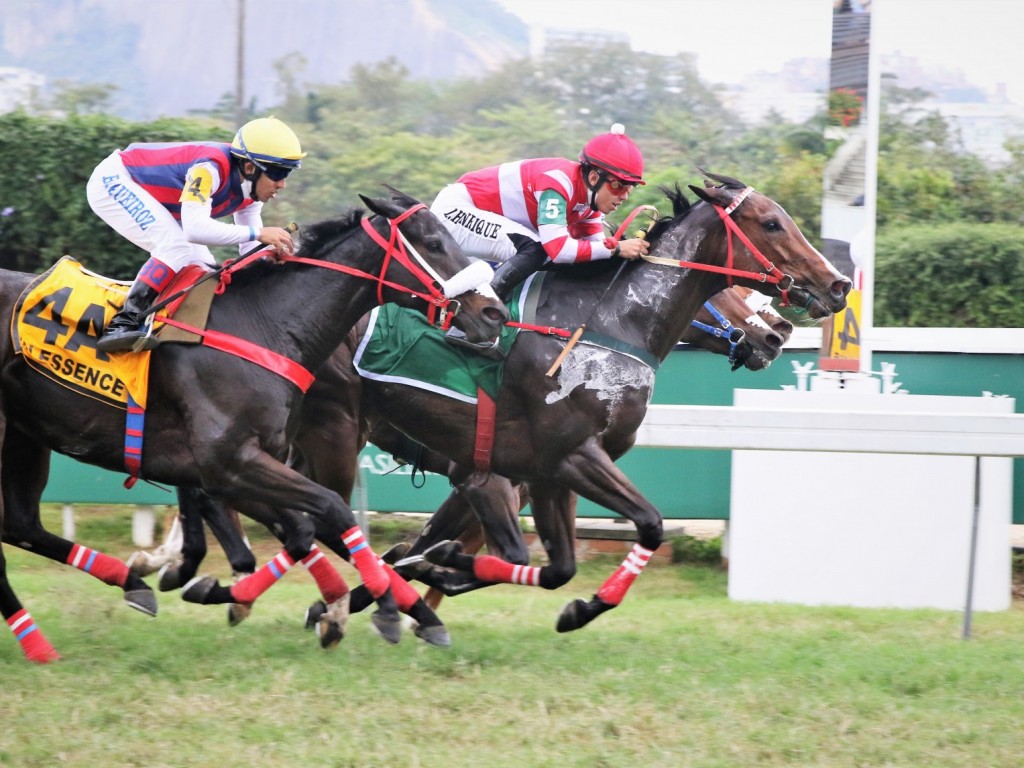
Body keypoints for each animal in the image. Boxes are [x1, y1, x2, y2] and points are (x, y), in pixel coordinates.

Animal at [0, 191, 509, 663]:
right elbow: (332, 512)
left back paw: (117, 591)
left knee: (21, 524)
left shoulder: (240, 466)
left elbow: (304, 528)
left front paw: (346, 606)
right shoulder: (231, 463)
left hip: (26, 434)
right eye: (433, 243)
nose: (494, 313)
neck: (262, 327)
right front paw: (377, 607)